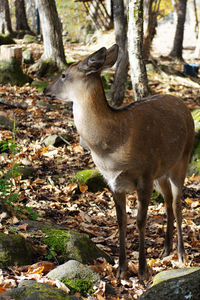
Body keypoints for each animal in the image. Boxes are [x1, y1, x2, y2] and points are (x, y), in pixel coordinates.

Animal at [43, 44, 194, 282]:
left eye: (64, 74)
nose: (45, 90)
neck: (111, 150)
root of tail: (184, 105)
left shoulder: (145, 175)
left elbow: (140, 220)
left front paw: (142, 270)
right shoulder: (113, 181)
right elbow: (121, 220)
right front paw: (121, 269)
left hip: (182, 159)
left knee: (178, 203)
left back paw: (181, 254)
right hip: (161, 172)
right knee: (168, 200)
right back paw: (165, 249)